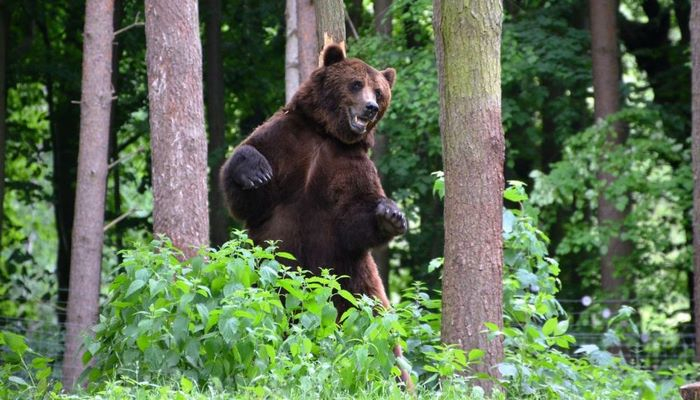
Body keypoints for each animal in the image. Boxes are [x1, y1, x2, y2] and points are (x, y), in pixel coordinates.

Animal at [221, 44, 412, 388]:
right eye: (355, 84)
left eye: (379, 90)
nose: (370, 108)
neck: (326, 135)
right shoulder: (285, 139)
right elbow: (246, 193)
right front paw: (254, 171)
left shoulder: (350, 165)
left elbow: (354, 218)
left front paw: (391, 214)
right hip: (267, 274)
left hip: (351, 280)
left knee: (378, 333)